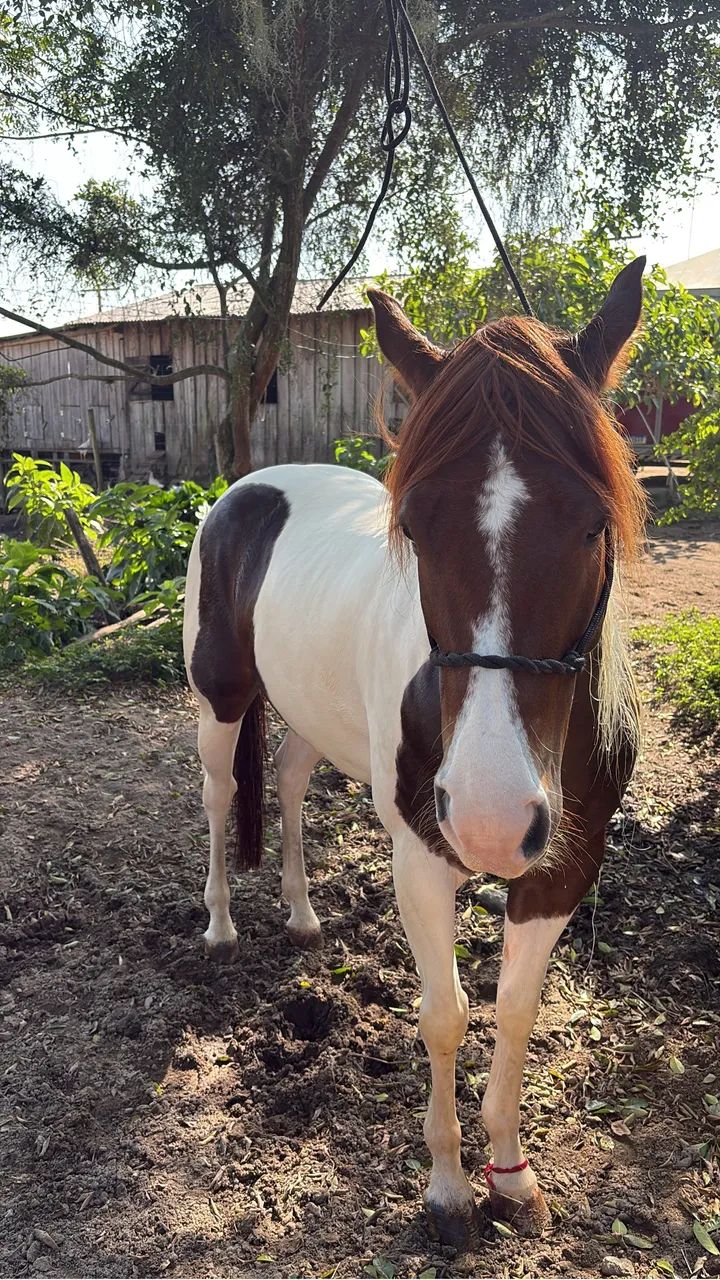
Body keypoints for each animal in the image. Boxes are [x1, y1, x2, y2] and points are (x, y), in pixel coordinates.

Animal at [182, 257, 647, 1247]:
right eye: (417, 528)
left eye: (595, 522)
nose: (492, 819)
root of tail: (248, 487)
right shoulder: (421, 856)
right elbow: (444, 1016)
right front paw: (446, 1188)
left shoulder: (565, 865)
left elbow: (514, 1012)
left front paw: (510, 1173)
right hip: (220, 701)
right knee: (217, 797)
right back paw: (222, 924)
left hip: (316, 718)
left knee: (287, 781)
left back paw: (302, 912)